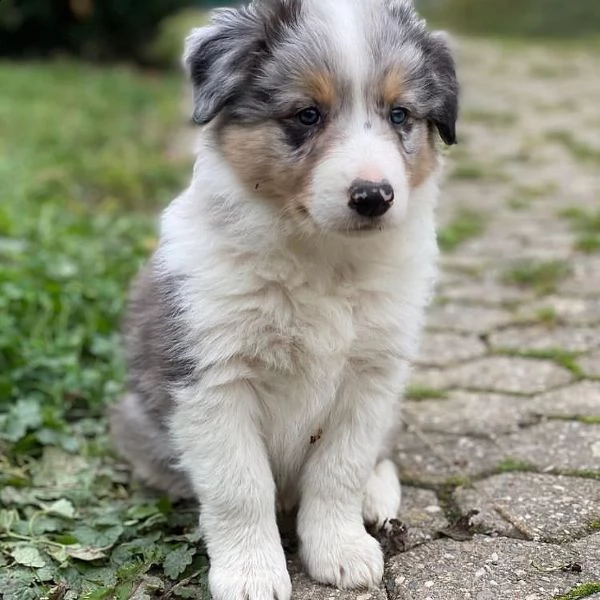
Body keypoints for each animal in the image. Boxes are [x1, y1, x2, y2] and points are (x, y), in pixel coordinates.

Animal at [110, 0, 460, 596]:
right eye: (307, 115)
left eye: (399, 115)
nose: (374, 196)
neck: (322, 261)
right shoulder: (213, 381)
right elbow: (240, 486)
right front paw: (252, 573)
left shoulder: (372, 377)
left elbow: (341, 470)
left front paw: (341, 549)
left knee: (380, 455)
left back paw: (378, 499)